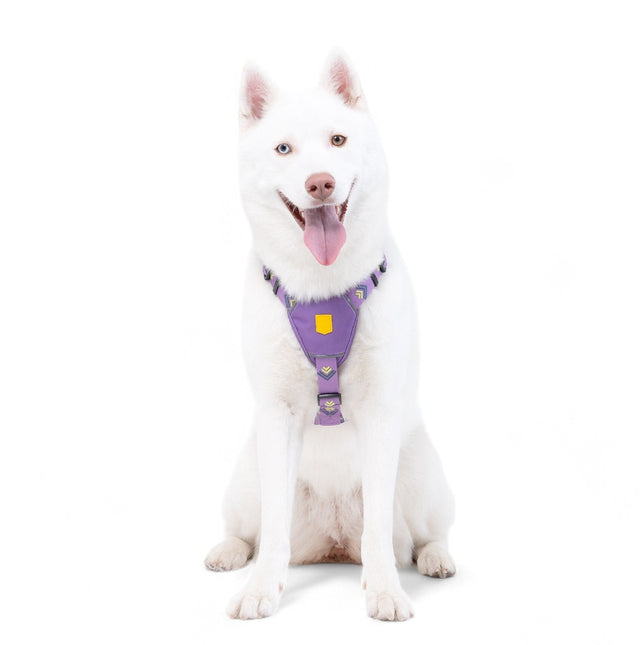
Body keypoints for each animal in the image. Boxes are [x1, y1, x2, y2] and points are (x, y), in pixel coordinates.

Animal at [205, 51, 455, 621]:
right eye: (283, 149)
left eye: (338, 140)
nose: (320, 182)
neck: (321, 291)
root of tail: (334, 541)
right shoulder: (277, 417)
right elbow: (272, 529)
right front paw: (260, 589)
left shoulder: (381, 412)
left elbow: (380, 531)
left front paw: (385, 590)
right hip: (246, 476)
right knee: (249, 528)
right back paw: (229, 552)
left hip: (423, 475)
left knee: (422, 533)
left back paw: (434, 558)